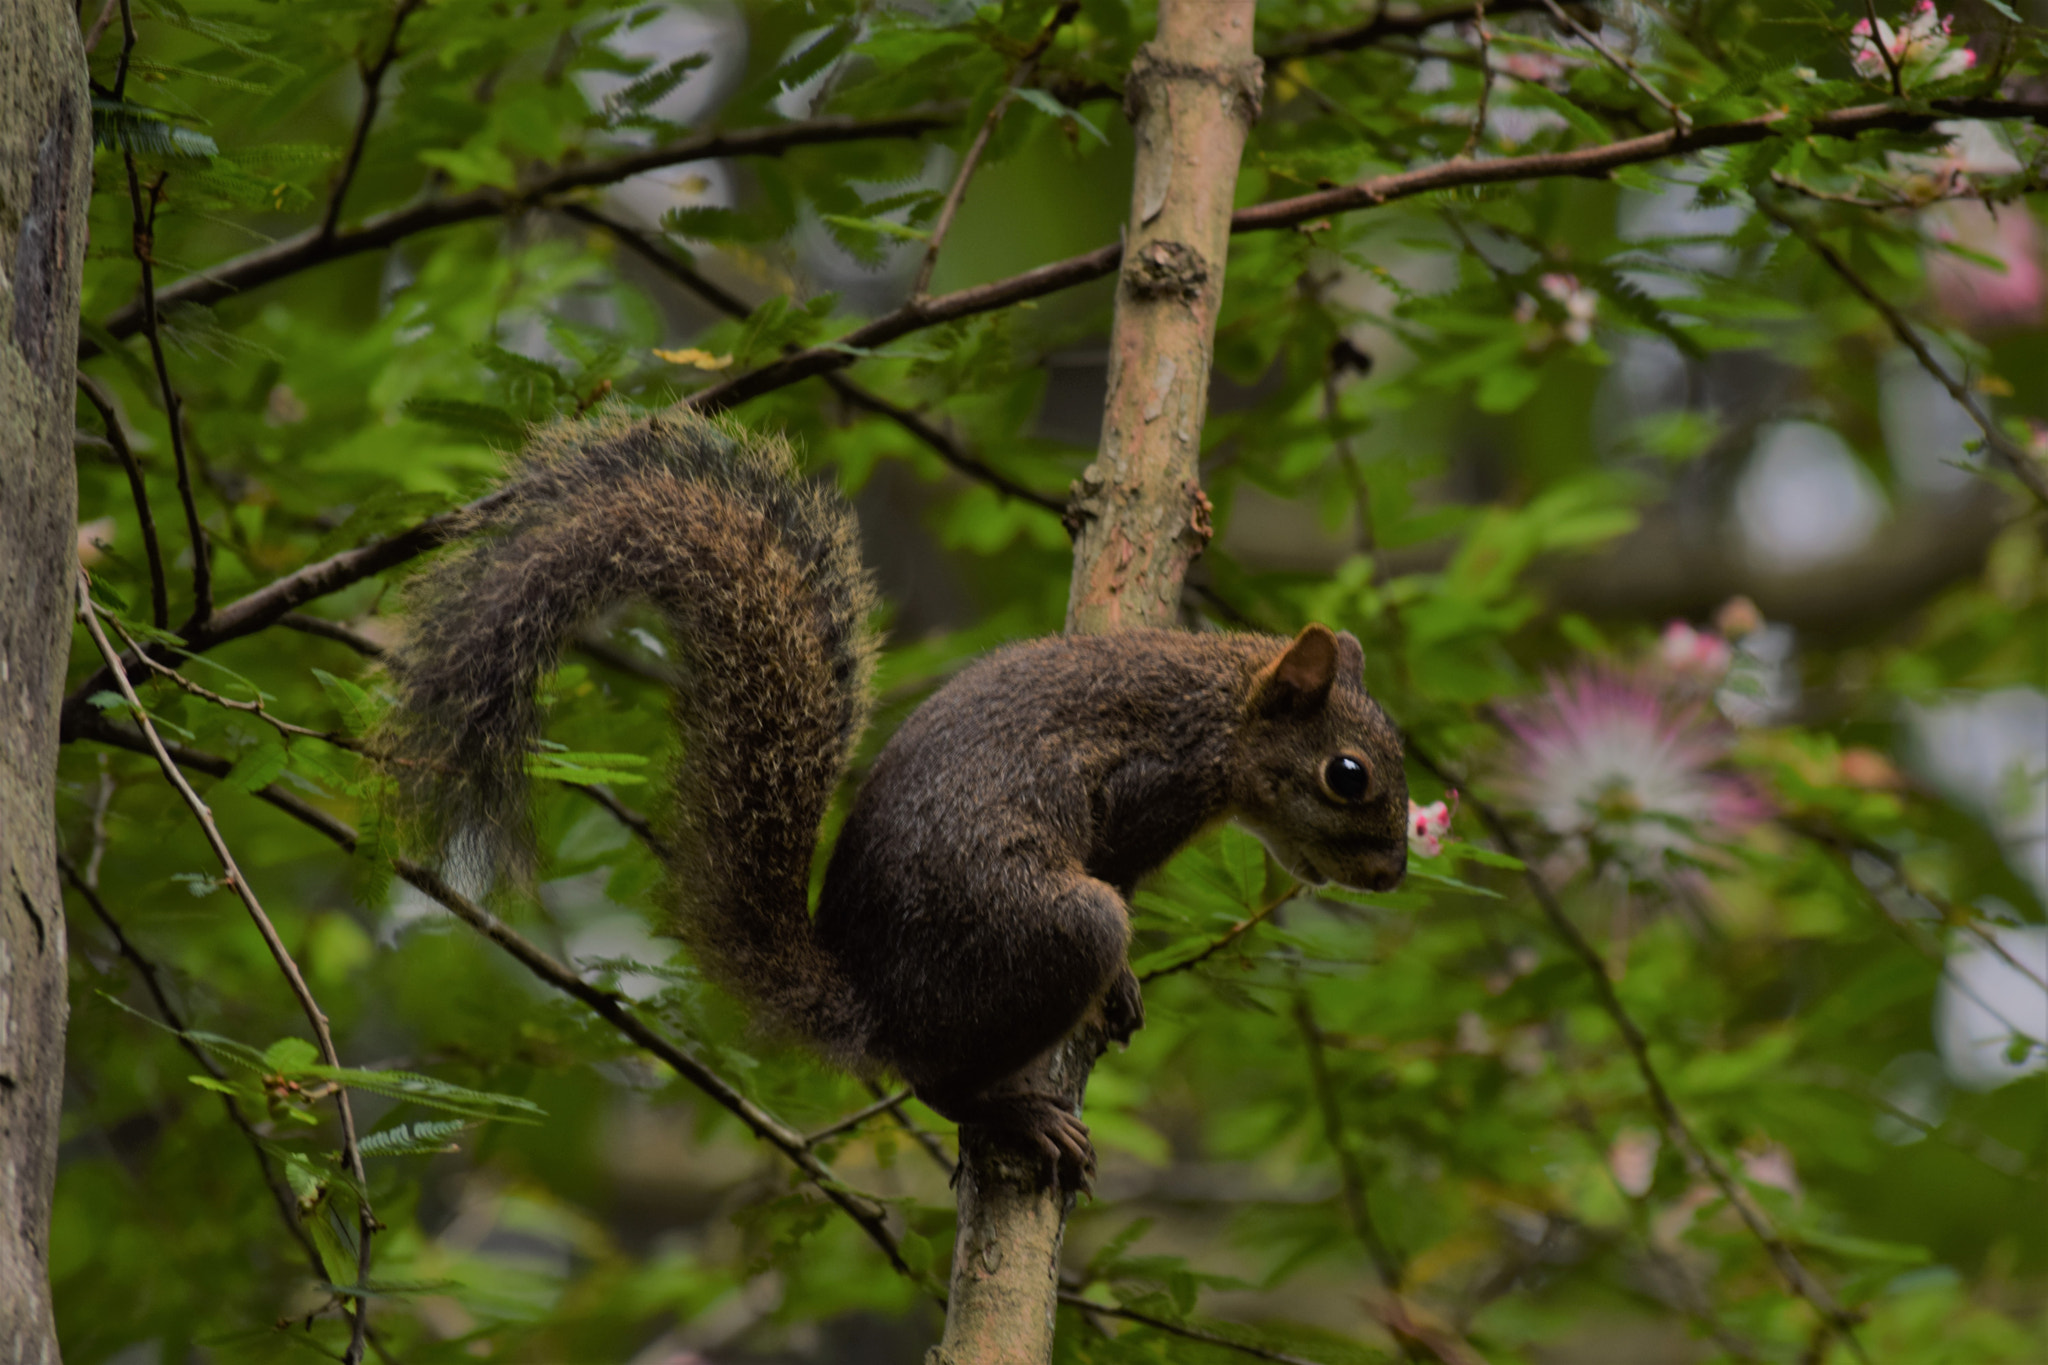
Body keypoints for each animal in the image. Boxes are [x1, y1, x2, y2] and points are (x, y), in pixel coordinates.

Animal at [379, 410, 1410, 1186]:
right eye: (1347, 774)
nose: (1395, 875)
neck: (1221, 708)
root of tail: (876, 1006)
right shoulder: (1144, 783)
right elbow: (1116, 858)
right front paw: (1119, 983)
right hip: (1045, 934)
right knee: (937, 1075)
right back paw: (1012, 1112)